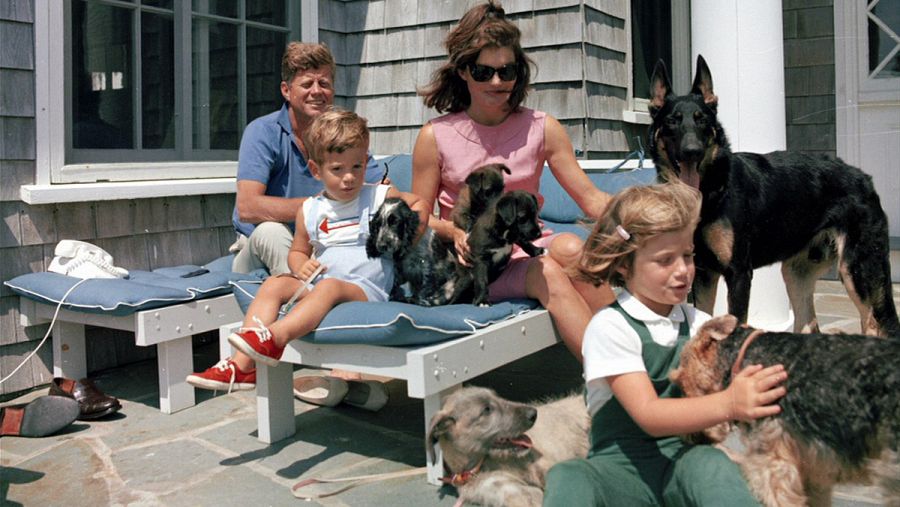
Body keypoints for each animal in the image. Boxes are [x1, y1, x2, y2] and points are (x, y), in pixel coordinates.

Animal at [652, 54, 896, 338]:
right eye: (672, 120)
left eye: (701, 120)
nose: (693, 151)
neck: (712, 189)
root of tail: (864, 178)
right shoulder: (703, 274)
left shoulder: (738, 274)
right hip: (796, 274)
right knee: (810, 325)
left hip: (856, 270)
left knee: (872, 324)